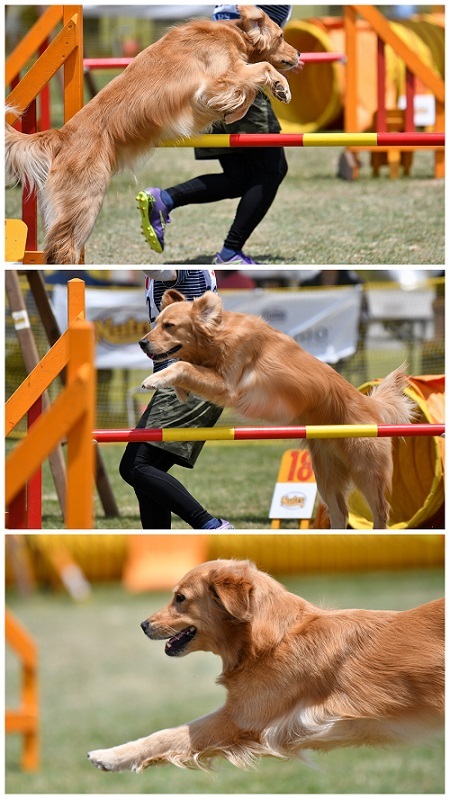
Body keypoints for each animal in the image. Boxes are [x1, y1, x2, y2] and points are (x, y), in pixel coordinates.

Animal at [5, 6, 298, 264]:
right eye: (281, 36)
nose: (298, 53)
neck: (234, 32)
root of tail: (62, 135)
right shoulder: (215, 82)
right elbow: (262, 69)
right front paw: (279, 88)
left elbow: (249, 87)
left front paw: (235, 111)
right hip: (84, 199)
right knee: (62, 248)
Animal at [87, 556, 442, 776]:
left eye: (180, 598)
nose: (143, 625)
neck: (270, 640)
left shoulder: (241, 719)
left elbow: (166, 735)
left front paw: (109, 756)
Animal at [138, 290, 414, 528]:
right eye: (156, 323)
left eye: (169, 326)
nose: (141, 343)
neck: (219, 336)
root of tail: (369, 403)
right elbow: (184, 365)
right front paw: (178, 390)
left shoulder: (227, 385)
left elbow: (182, 365)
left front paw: (155, 379)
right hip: (326, 474)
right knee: (340, 512)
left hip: (366, 471)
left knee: (381, 511)